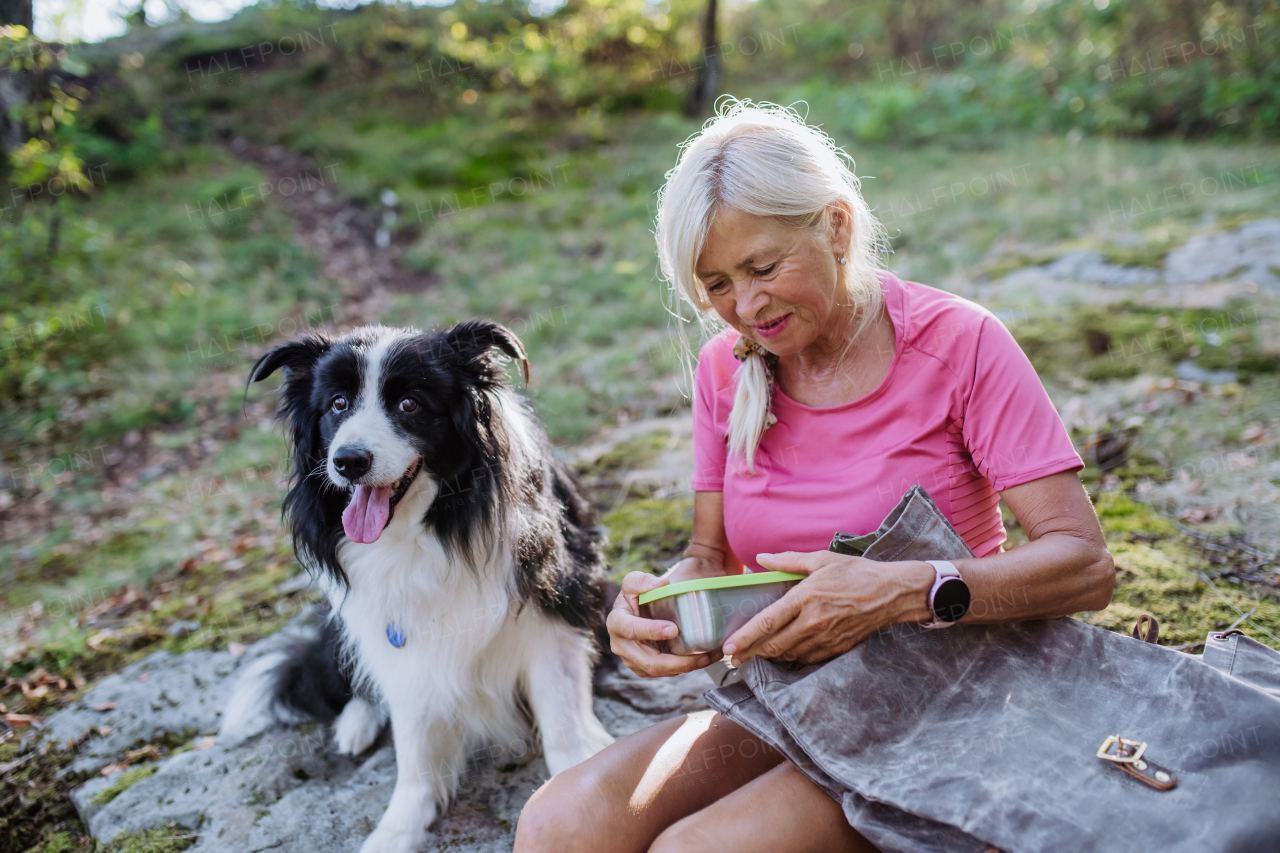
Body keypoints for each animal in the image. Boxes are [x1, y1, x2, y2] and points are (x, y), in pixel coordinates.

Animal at [218, 320, 614, 850]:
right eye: (337, 404)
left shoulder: (553, 603)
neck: (425, 532)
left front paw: (578, 781)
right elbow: (414, 753)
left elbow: (562, 716)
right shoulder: (400, 643)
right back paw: (356, 720)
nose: (348, 461)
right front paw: (397, 830)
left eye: (410, 404)